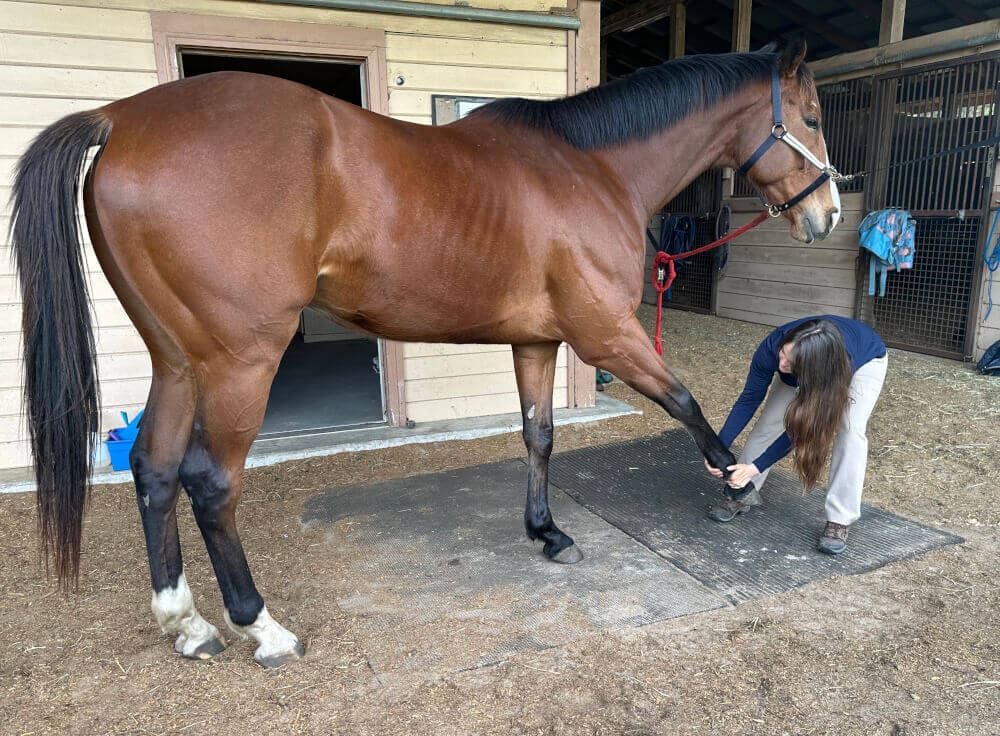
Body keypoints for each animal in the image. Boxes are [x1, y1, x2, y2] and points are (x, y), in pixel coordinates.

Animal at [10, 38, 840, 667]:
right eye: (811, 115)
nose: (829, 214)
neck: (588, 165)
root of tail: (121, 118)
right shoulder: (605, 332)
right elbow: (685, 400)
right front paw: (736, 479)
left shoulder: (537, 340)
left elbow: (539, 435)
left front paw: (547, 533)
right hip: (239, 363)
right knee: (210, 484)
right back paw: (262, 626)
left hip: (179, 361)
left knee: (153, 470)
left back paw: (185, 624)